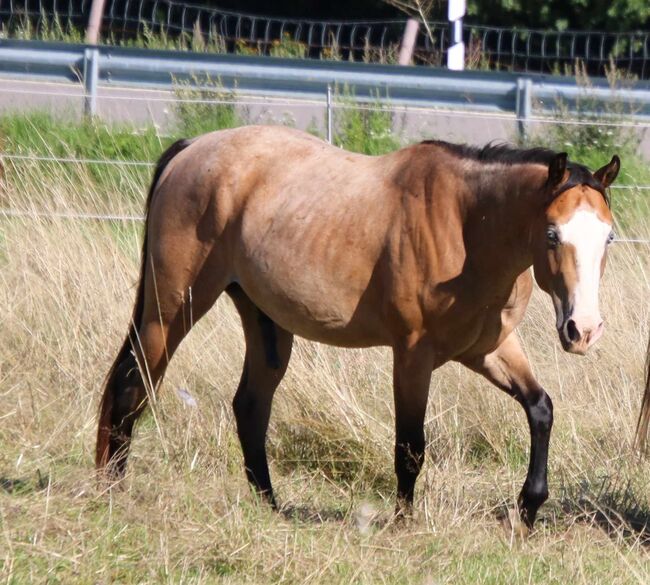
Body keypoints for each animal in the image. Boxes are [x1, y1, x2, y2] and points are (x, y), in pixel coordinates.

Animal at [95, 125, 616, 532]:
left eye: (608, 236)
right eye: (552, 234)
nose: (583, 330)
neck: (468, 225)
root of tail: (191, 149)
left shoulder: (490, 349)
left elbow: (540, 409)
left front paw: (528, 508)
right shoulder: (413, 356)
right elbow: (411, 445)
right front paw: (404, 522)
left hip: (265, 324)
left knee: (250, 406)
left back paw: (271, 508)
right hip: (171, 310)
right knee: (132, 384)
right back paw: (111, 489)